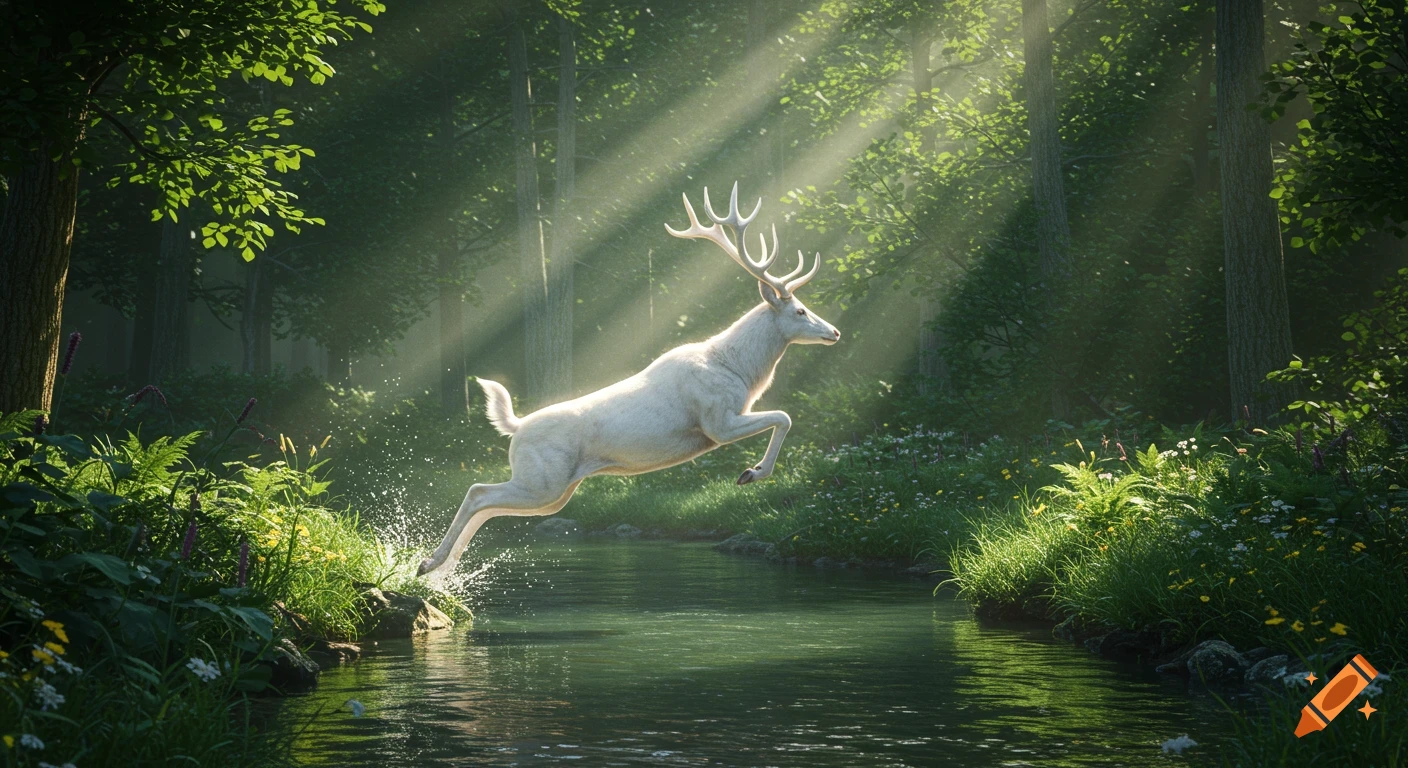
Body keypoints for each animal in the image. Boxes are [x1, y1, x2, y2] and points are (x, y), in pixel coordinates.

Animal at [418, 183, 840, 577]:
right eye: (801, 311)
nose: (834, 332)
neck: (739, 369)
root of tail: (516, 427)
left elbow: (782, 417)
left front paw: (751, 471)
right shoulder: (716, 421)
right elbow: (784, 416)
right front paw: (751, 473)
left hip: (554, 492)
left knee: (488, 507)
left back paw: (443, 568)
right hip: (543, 479)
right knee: (478, 492)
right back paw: (428, 563)